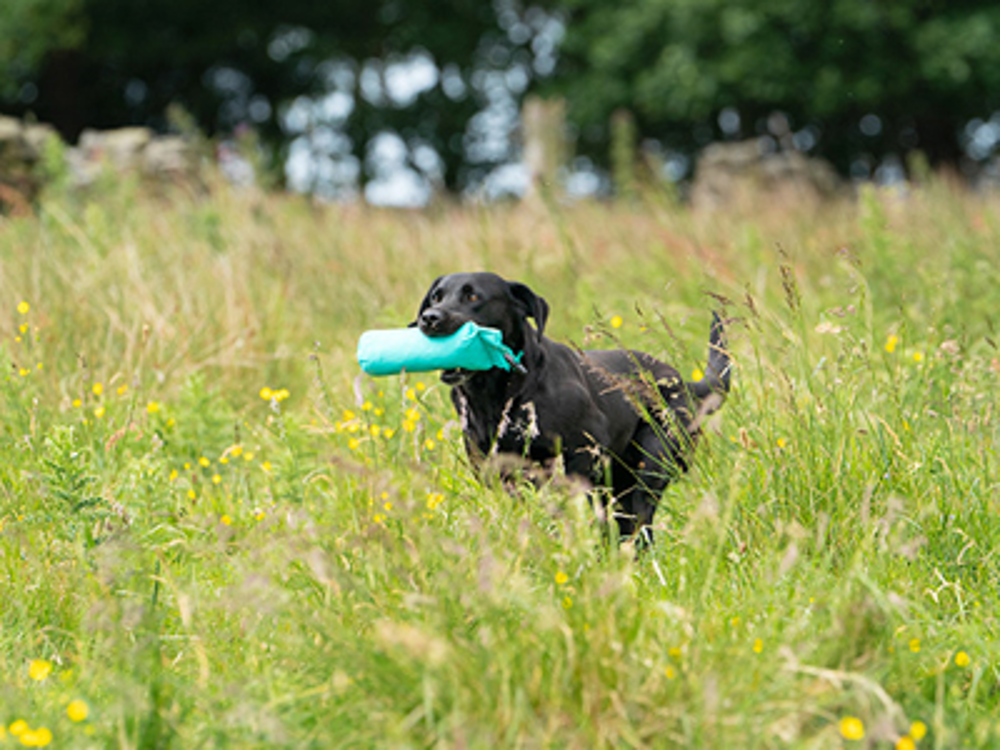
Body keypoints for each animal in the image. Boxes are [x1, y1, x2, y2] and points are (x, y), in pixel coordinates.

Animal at [410, 274, 732, 544]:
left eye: (473, 296)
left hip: (650, 465)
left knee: (638, 523)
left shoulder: (583, 454)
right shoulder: (497, 473)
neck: (505, 393)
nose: (429, 318)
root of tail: (680, 381)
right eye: (436, 297)